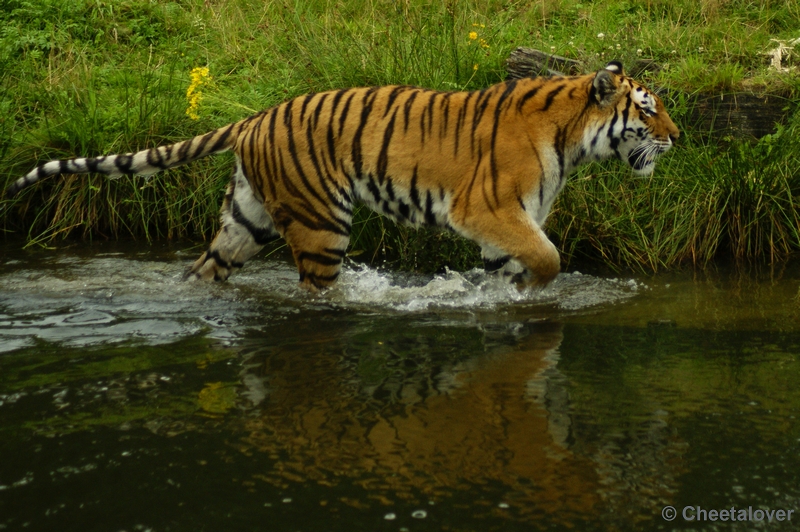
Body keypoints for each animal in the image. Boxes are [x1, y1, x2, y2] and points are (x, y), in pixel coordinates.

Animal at [6, 61, 680, 290]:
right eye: (648, 109)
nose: (678, 138)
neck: (571, 140)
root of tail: (256, 116)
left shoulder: (504, 226)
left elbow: (513, 266)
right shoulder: (488, 210)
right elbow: (549, 257)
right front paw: (535, 290)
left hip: (246, 221)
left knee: (204, 269)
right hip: (320, 223)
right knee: (316, 289)